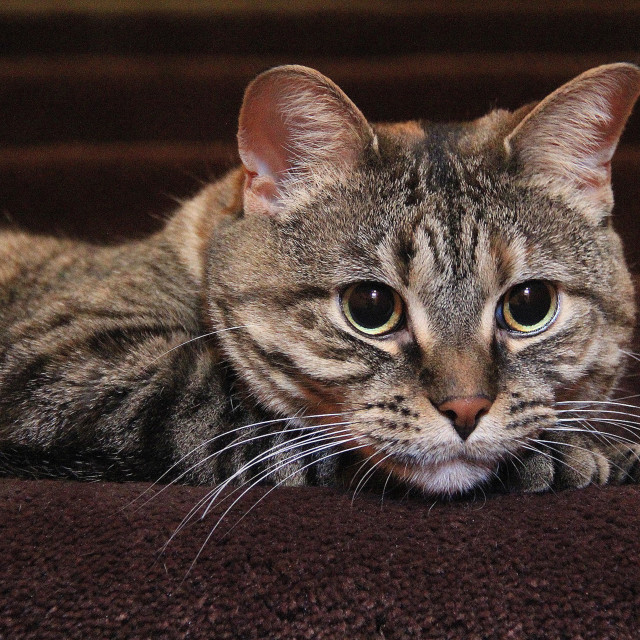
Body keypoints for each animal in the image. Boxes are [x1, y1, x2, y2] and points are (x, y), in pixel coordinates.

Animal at [1, 61, 640, 500]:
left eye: (529, 305)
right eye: (371, 305)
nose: (466, 407)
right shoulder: (71, 361)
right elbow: (250, 415)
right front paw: (581, 454)